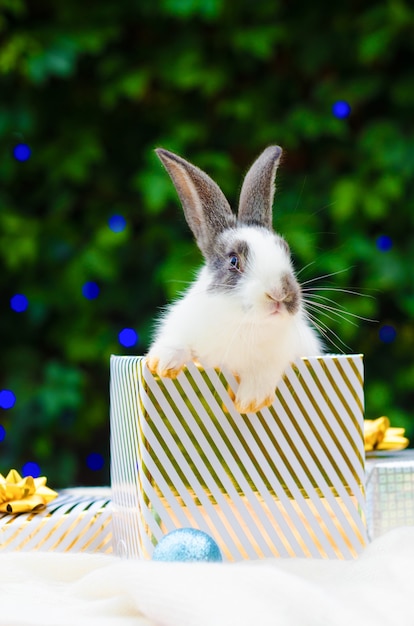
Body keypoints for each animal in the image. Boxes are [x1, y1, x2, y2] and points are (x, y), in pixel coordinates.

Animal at [146, 144, 324, 412]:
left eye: (285, 251)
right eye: (233, 261)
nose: (280, 294)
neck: (243, 324)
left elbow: (266, 368)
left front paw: (251, 400)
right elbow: (178, 343)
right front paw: (161, 362)